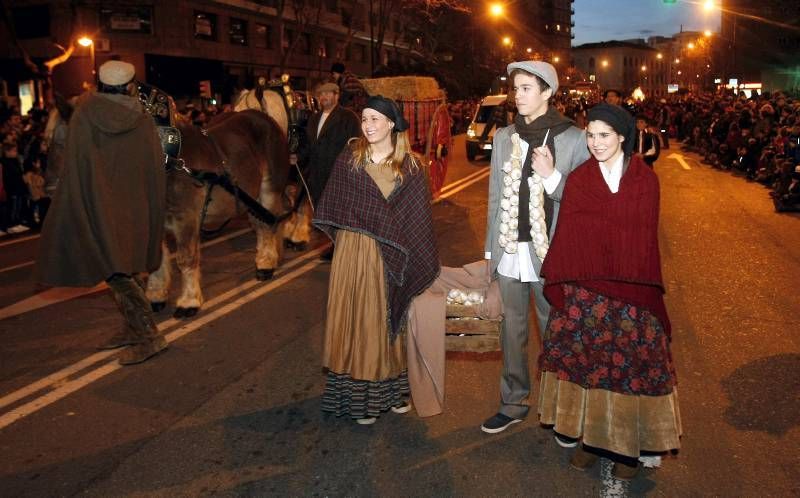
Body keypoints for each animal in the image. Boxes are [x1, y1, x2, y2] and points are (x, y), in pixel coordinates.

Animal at [146, 110, 312, 318]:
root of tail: (268, 120)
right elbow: (156, 259)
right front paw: (157, 295)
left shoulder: (186, 218)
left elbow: (185, 258)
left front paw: (189, 302)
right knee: (265, 221)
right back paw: (271, 255)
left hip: (271, 187)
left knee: (272, 220)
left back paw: (268, 262)